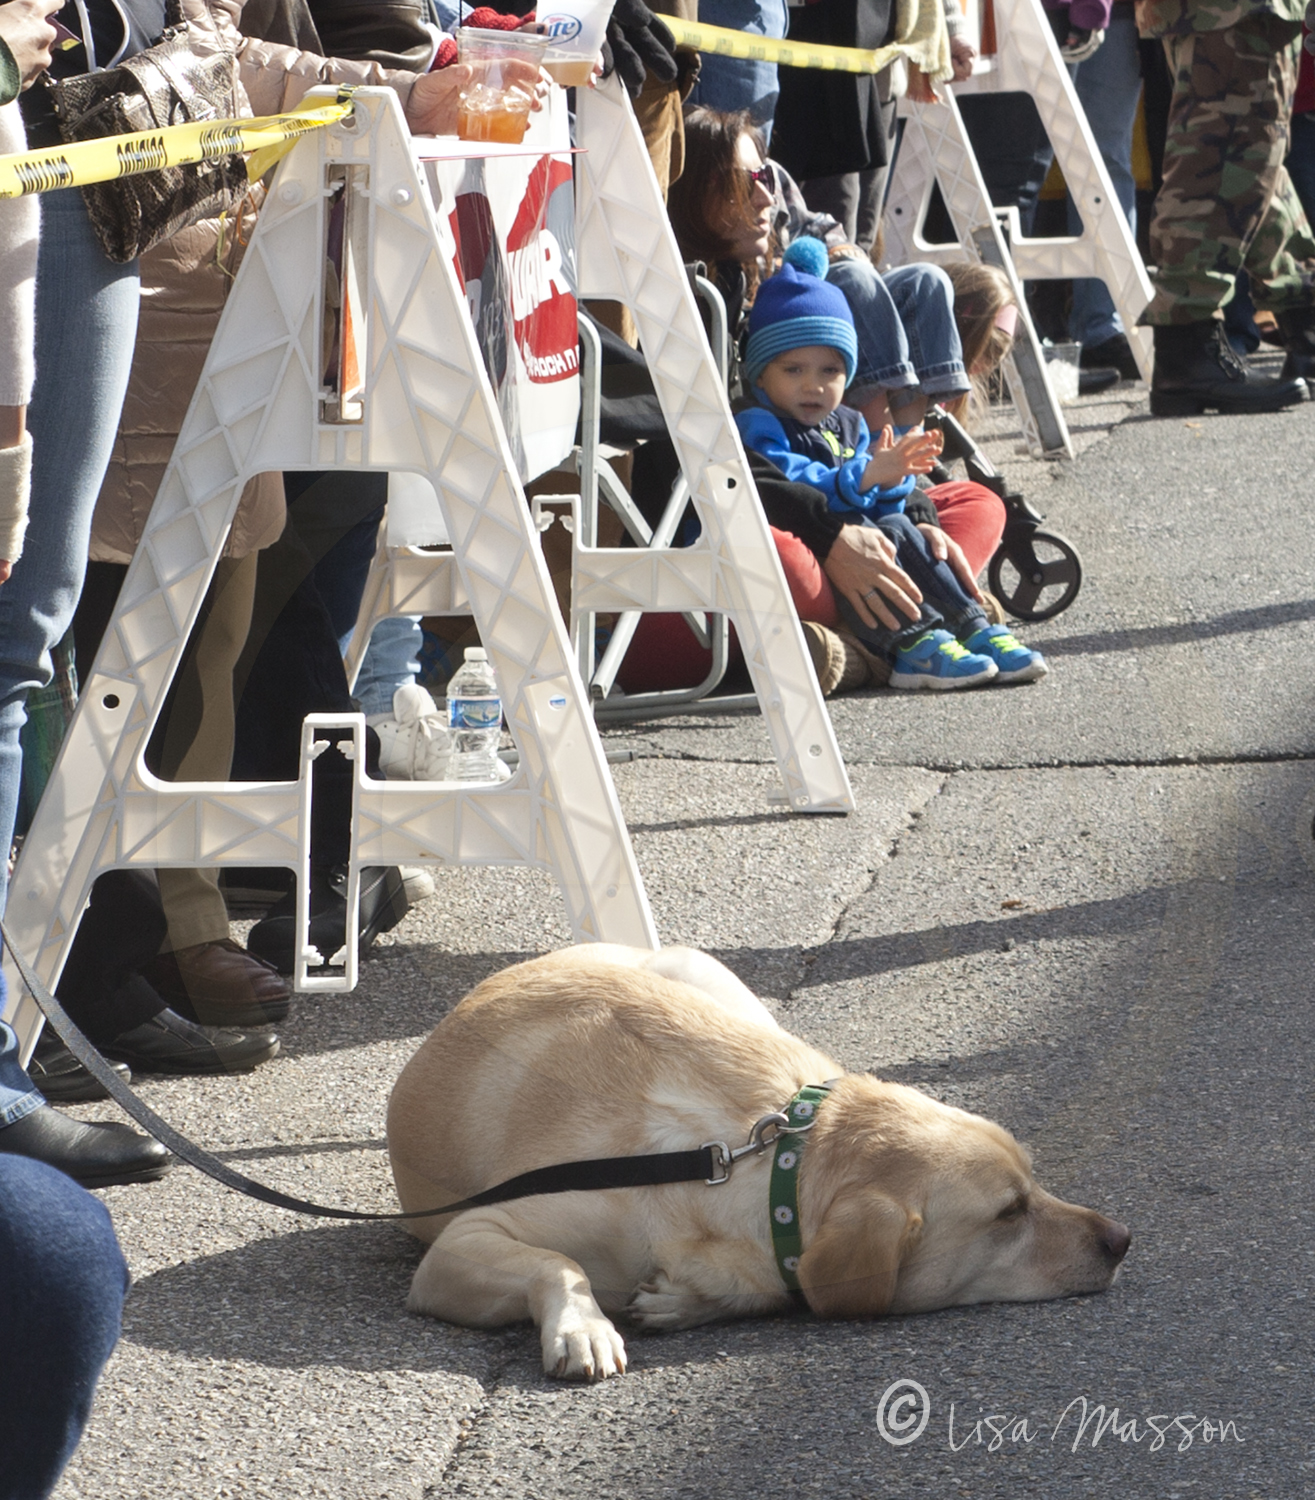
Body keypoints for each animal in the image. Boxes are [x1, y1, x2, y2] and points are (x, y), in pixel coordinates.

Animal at [382, 948, 1127, 1380]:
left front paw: (684, 1299)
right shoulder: (462, 1241)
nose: (1122, 1240)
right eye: (1008, 1213)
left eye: (1034, 1183)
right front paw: (583, 1326)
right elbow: (558, 1263)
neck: (765, 1166)